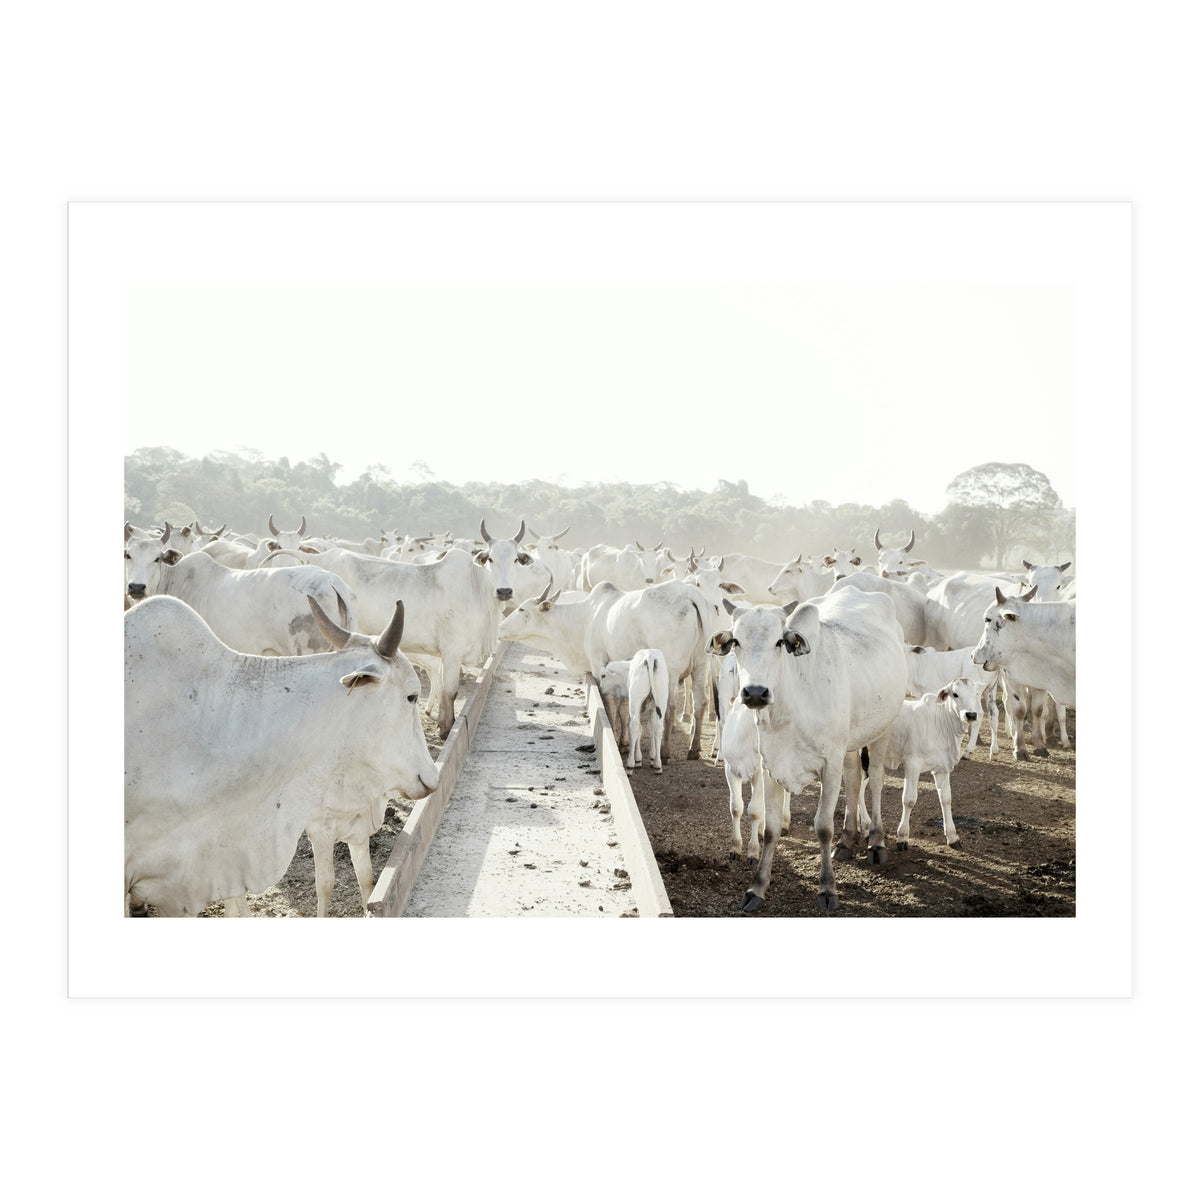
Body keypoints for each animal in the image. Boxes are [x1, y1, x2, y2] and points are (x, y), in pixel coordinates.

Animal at [498, 579, 712, 761]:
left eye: (521, 609)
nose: (500, 629)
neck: (584, 618)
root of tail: (687, 592)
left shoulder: (598, 665)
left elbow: (609, 705)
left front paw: (614, 738)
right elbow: (624, 709)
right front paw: (624, 743)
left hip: (670, 671)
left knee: (670, 707)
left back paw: (665, 751)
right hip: (701, 665)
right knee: (701, 702)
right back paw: (694, 749)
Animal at [709, 588, 908, 912]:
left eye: (779, 641)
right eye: (736, 641)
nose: (755, 693)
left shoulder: (829, 764)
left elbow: (823, 827)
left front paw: (827, 889)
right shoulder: (771, 767)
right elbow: (770, 829)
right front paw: (756, 888)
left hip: (883, 728)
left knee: (876, 779)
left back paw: (876, 842)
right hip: (849, 744)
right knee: (854, 779)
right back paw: (847, 840)